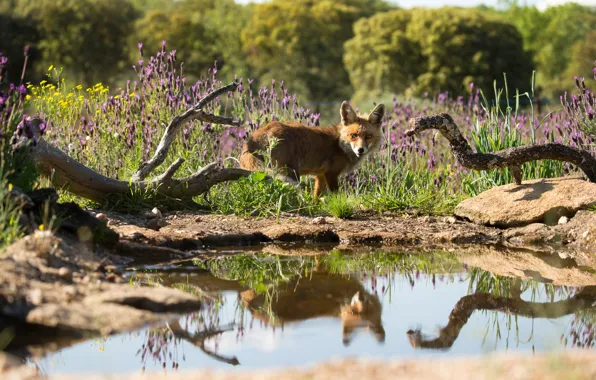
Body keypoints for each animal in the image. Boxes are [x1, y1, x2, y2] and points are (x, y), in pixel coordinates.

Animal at [239, 99, 384, 197]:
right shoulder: (331, 173)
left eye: (369, 136)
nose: (361, 150)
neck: (340, 144)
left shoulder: (320, 175)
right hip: (290, 172)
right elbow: (336, 195)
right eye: (354, 135)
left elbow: (317, 197)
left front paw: (316, 207)